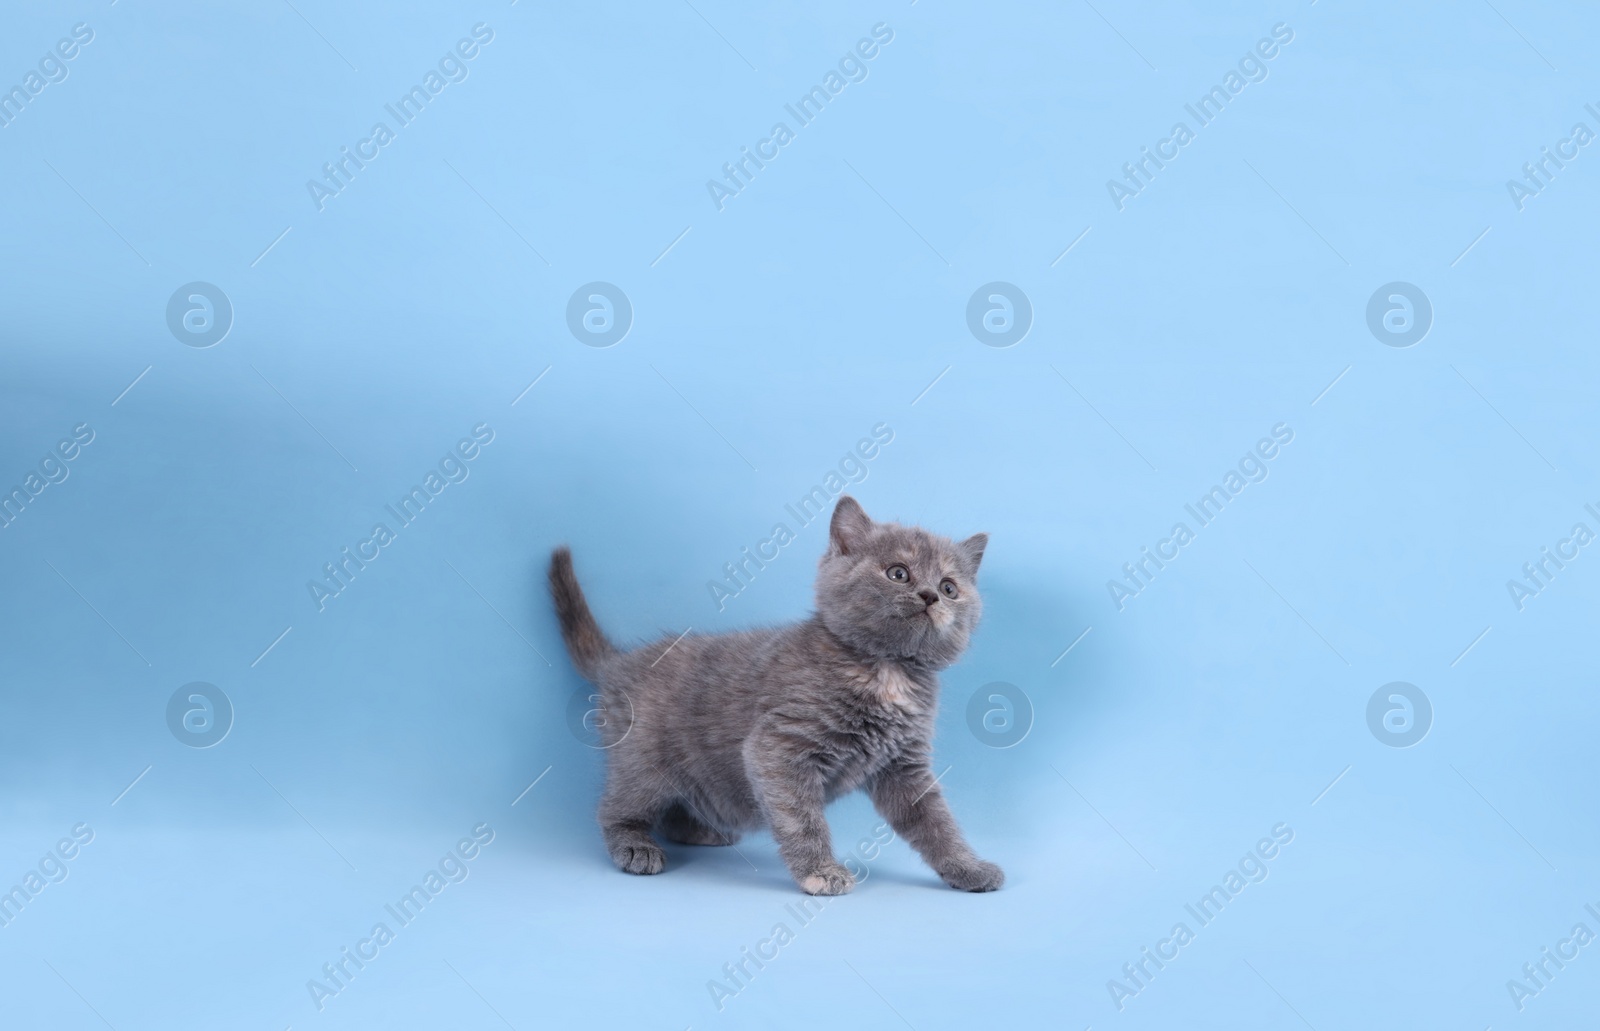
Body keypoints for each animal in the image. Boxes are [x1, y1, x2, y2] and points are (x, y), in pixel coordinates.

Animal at [550, 496, 998, 896]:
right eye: (898, 573)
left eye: (949, 587)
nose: (930, 596)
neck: (887, 669)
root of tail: (620, 664)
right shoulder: (779, 747)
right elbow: (801, 819)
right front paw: (820, 872)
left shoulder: (905, 764)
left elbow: (936, 823)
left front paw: (968, 869)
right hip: (644, 760)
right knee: (618, 806)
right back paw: (634, 845)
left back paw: (703, 830)